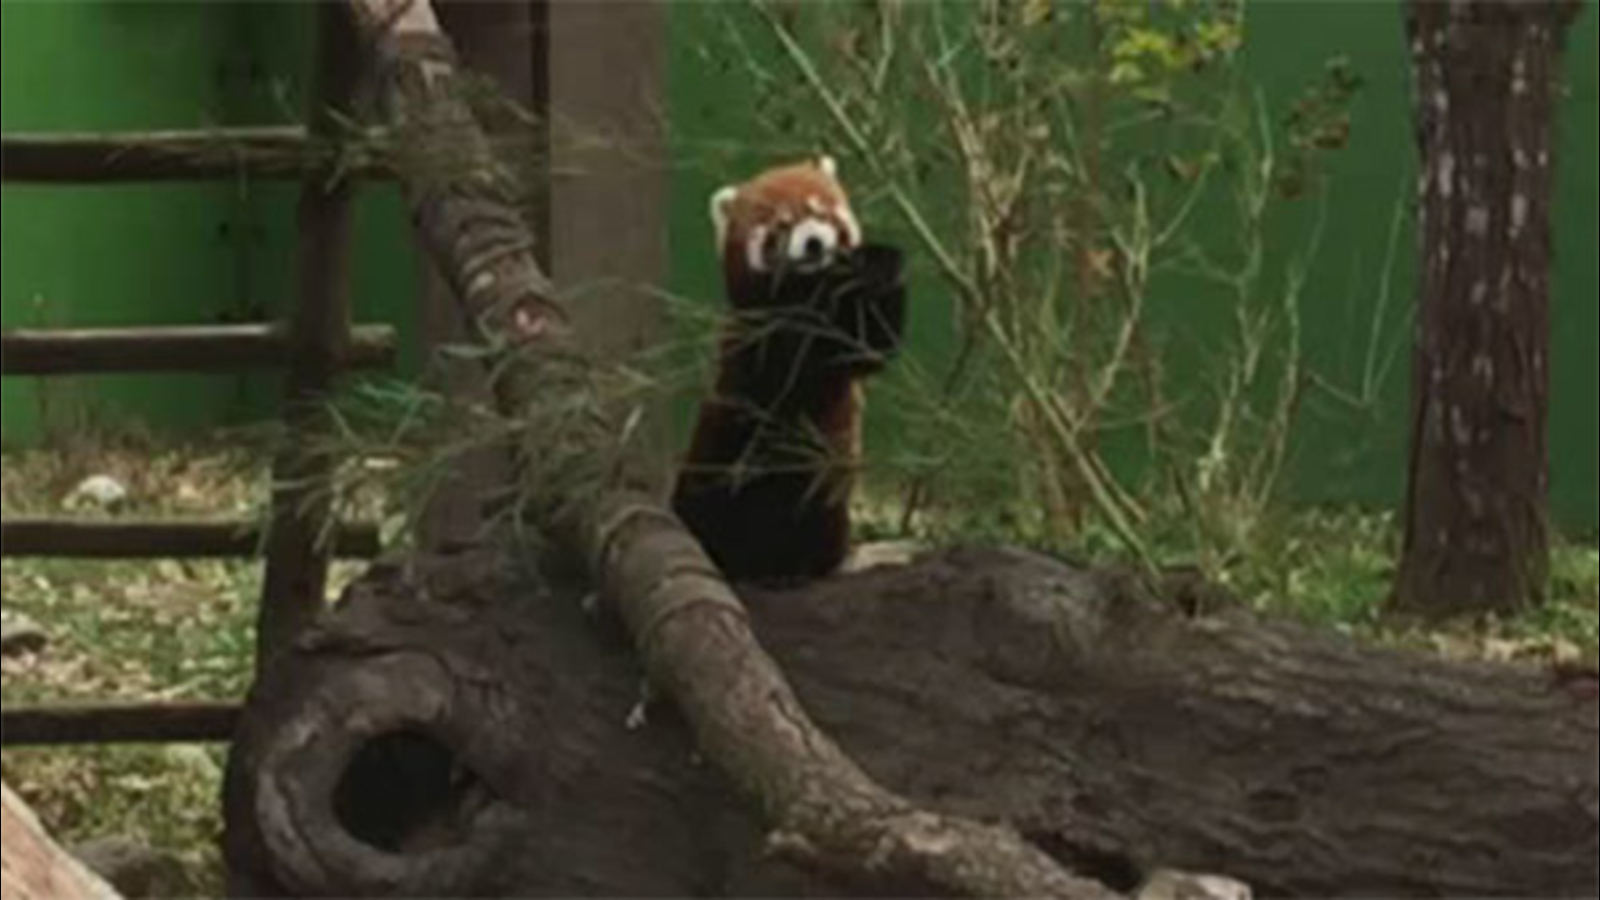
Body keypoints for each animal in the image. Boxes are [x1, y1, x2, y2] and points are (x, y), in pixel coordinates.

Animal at [671, 156, 907, 583]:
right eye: (781, 227)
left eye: (820, 212)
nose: (813, 243)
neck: (809, 291)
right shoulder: (755, 341)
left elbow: (868, 343)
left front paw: (879, 267)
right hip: (714, 467)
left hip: (827, 508)